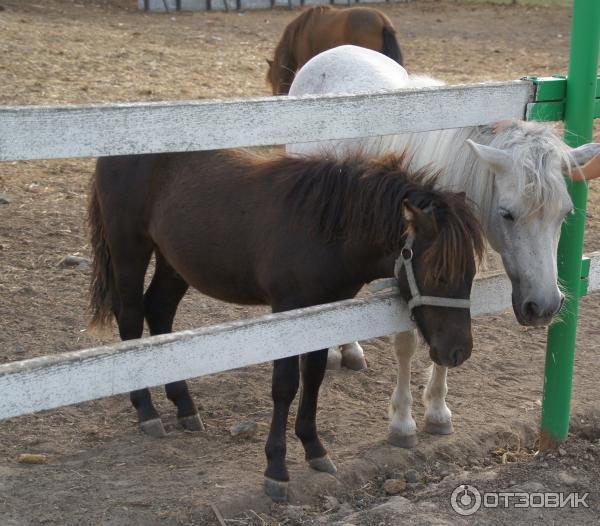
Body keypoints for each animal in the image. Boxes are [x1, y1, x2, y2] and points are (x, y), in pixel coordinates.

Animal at [88, 150, 482, 504]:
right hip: (129, 251)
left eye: (471, 274)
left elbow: (314, 378)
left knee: (160, 313)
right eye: (440, 274)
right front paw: (276, 468)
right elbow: (285, 386)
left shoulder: (322, 315)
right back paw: (147, 411)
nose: (459, 351)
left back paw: (184, 406)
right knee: (131, 318)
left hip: (174, 261)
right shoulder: (287, 312)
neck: (323, 230)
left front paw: (314, 448)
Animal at [286, 46, 596, 450]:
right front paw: (402, 422)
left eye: (566, 213)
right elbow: (406, 343)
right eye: (507, 214)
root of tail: (334, 51)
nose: (543, 307)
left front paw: (436, 410)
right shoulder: (403, 276)